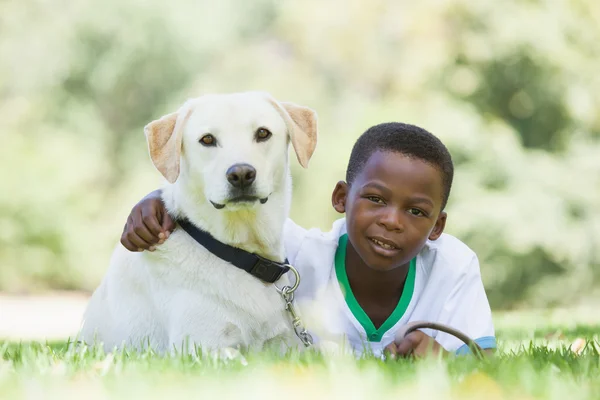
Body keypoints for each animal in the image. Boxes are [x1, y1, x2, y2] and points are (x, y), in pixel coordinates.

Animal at [79, 91, 318, 356]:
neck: (237, 253)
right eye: (207, 139)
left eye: (263, 133)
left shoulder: (286, 346)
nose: (241, 174)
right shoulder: (200, 346)